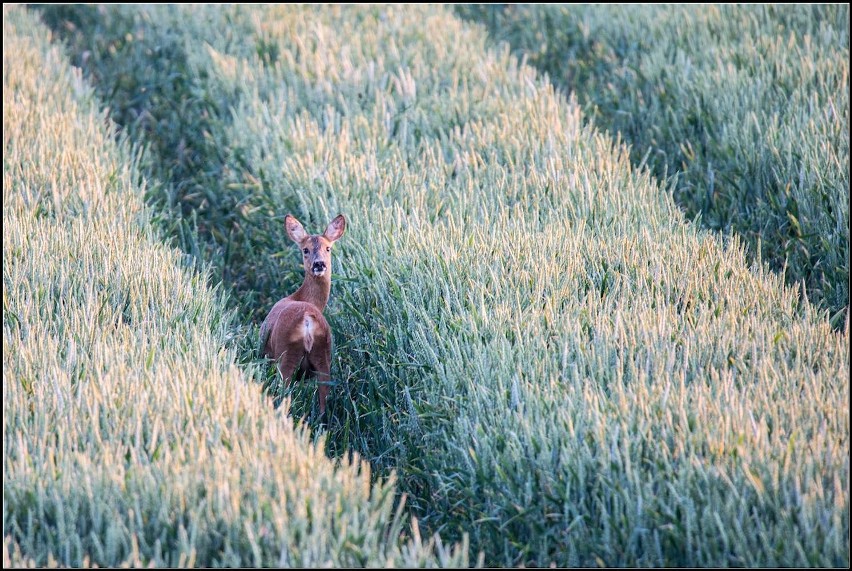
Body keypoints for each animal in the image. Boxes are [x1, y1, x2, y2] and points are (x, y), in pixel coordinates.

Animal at [258, 213, 344, 416]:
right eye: (305, 249)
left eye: (328, 248)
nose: (319, 264)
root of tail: (307, 321)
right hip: (323, 355)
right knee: (323, 398)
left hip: (286, 354)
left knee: (284, 393)